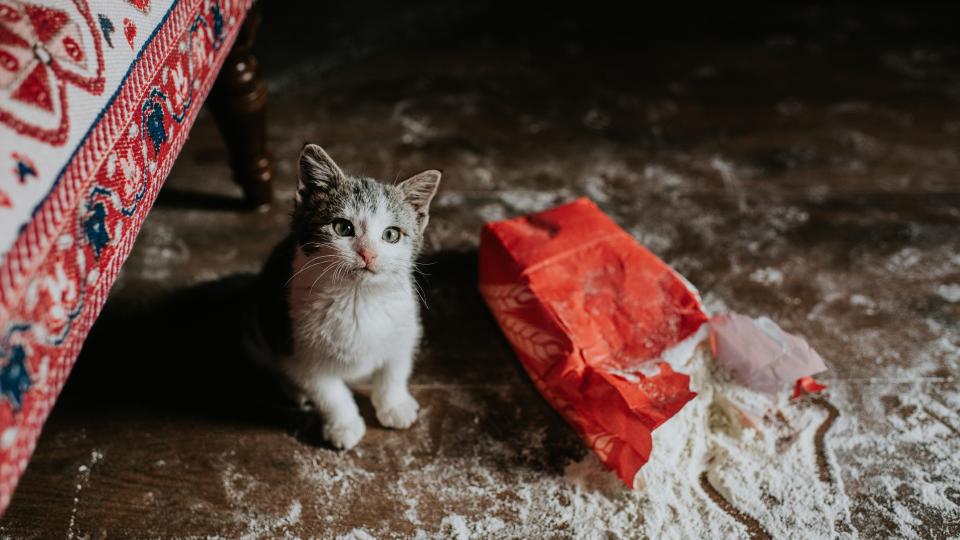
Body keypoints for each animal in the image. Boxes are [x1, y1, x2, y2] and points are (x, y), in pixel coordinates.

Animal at [249, 142, 440, 448]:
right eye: (342, 227)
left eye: (391, 234)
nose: (368, 254)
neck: (357, 298)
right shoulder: (300, 352)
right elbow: (329, 393)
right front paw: (343, 425)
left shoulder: (406, 328)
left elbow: (394, 369)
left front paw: (395, 405)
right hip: (263, 320)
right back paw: (294, 391)